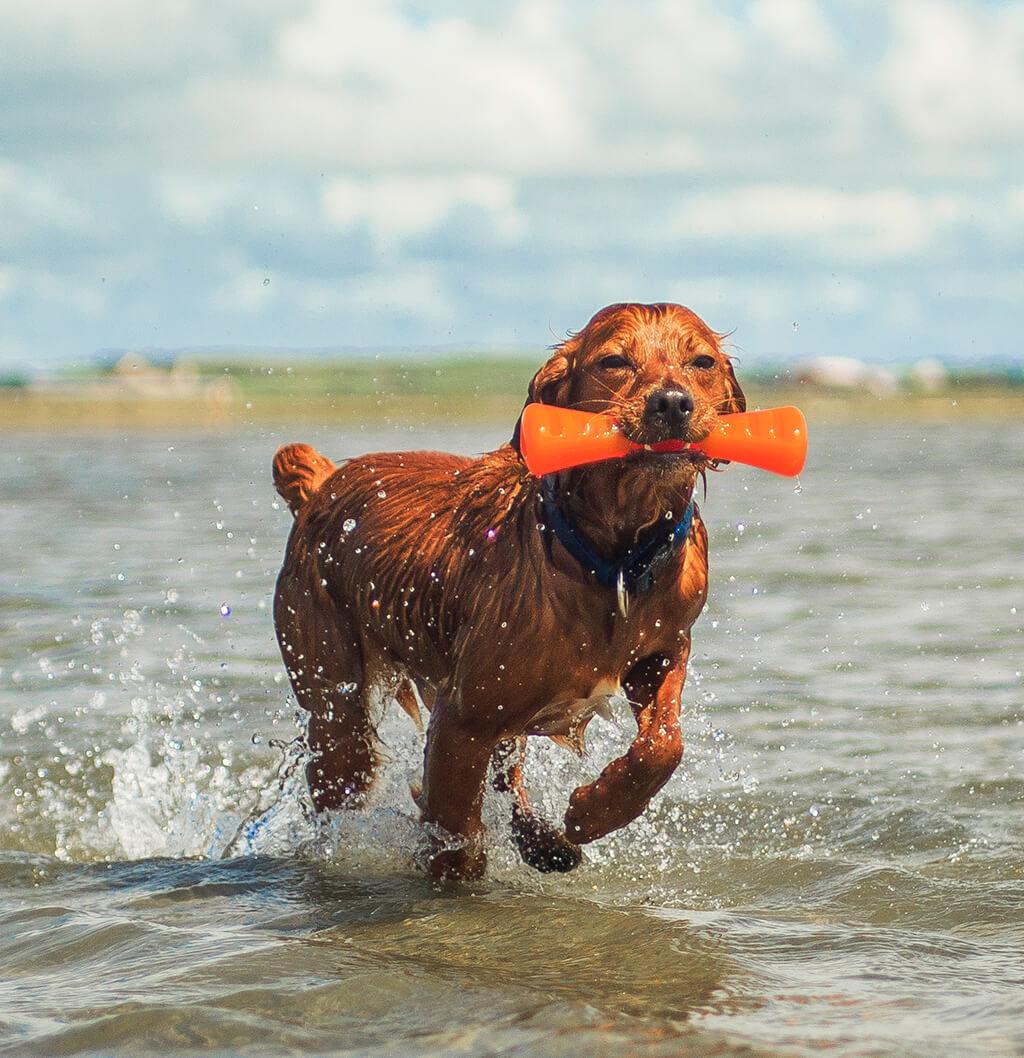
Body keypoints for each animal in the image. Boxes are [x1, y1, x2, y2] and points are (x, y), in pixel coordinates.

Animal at [272, 302, 744, 880]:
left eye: (702, 362)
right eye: (614, 361)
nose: (673, 403)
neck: (611, 560)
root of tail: (322, 485)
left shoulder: (666, 648)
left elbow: (664, 745)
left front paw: (593, 811)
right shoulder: (462, 717)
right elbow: (454, 833)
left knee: (509, 772)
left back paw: (545, 842)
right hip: (334, 700)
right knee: (343, 772)